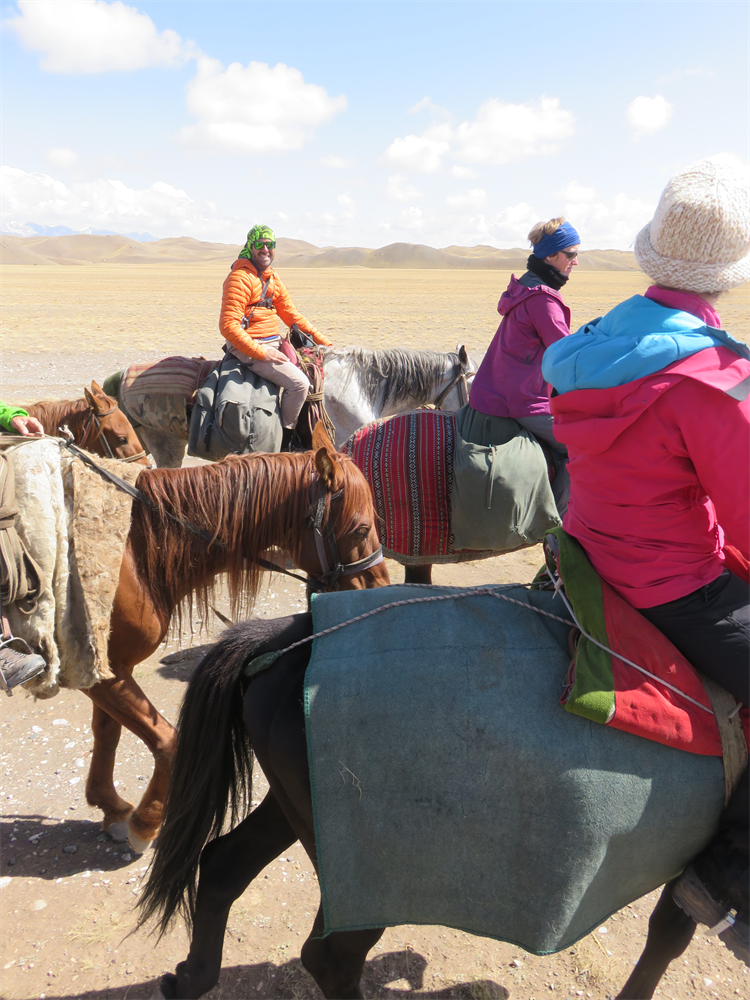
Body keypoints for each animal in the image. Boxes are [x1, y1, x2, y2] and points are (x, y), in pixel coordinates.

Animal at [68, 424, 389, 852]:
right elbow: (167, 742)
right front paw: (145, 823)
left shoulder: (108, 667)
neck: (134, 551)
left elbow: (108, 732)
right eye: (361, 529)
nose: (380, 588)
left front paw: (112, 807)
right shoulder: (102, 673)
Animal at [137, 602, 741, 1000]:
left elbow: (669, 931)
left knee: (222, 865)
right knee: (330, 959)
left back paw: (190, 980)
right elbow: (668, 937)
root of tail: (283, 636)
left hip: (292, 810)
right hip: (363, 873)